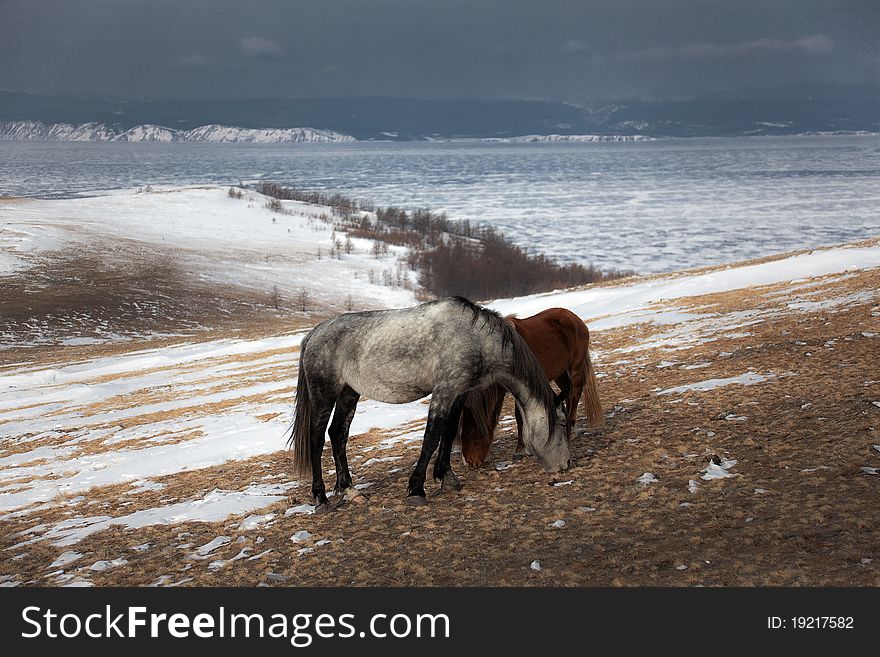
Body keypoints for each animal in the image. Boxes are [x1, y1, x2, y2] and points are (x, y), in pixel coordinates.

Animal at [290, 294, 572, 510]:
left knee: (338, 433)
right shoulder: (444, 391)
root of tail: (313, 334)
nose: (566, 465)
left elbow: (449, 432)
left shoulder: (459, 392)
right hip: (325, 393)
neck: (476, 338)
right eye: (560, 422)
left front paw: (446, 477)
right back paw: (321, 497)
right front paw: (417, 489)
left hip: (350, 392)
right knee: (317, 438)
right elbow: (432, 436)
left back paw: (349, 489)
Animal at [458, 308, 600, 466]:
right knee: (568, 393)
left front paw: (520, 449)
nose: (468, 462)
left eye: (468, 432)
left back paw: (571, 429)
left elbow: (519, 416)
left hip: (576, 367)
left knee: (575, 395)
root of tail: (574, 318)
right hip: (560, 373)